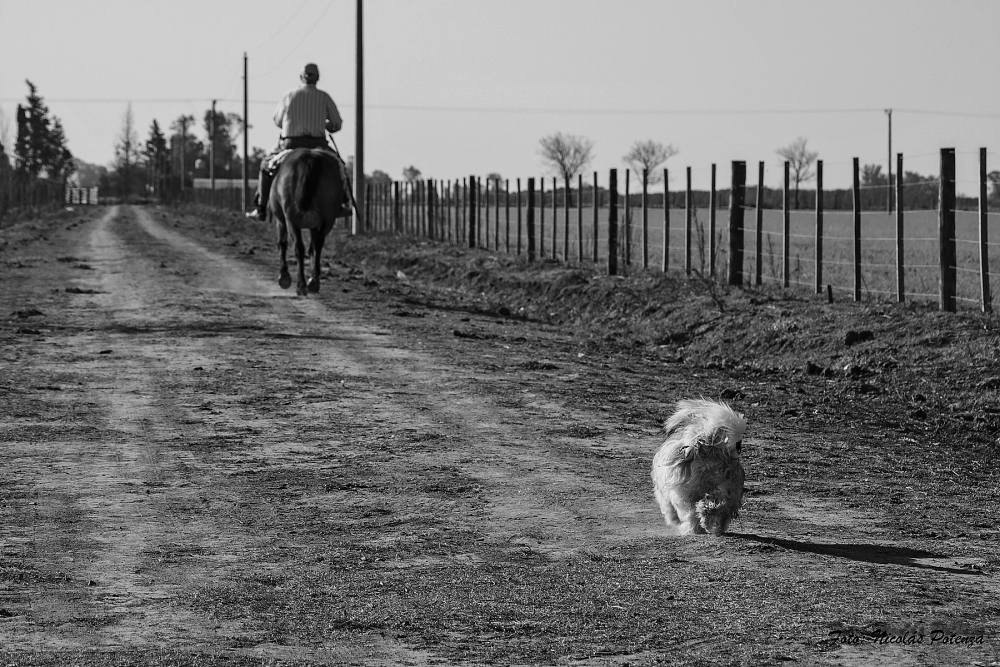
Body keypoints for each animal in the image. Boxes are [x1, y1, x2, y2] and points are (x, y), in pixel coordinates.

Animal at [268, 151, 350, 298]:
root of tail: (310, 156)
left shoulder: (282, 221)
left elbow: (282, 243)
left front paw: (284, 276)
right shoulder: (315, 225)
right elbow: (313, 247)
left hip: (291, 220)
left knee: (299, 247)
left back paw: (301, 285)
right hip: (328, 220)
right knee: (317, 245)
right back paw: (313, 282)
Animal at [652, 400, 748, 536]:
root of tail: (710, 448)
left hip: (686, 493)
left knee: (694, 512)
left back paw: (696, 527)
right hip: (726, 487)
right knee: (717, 506)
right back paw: (710, 523)